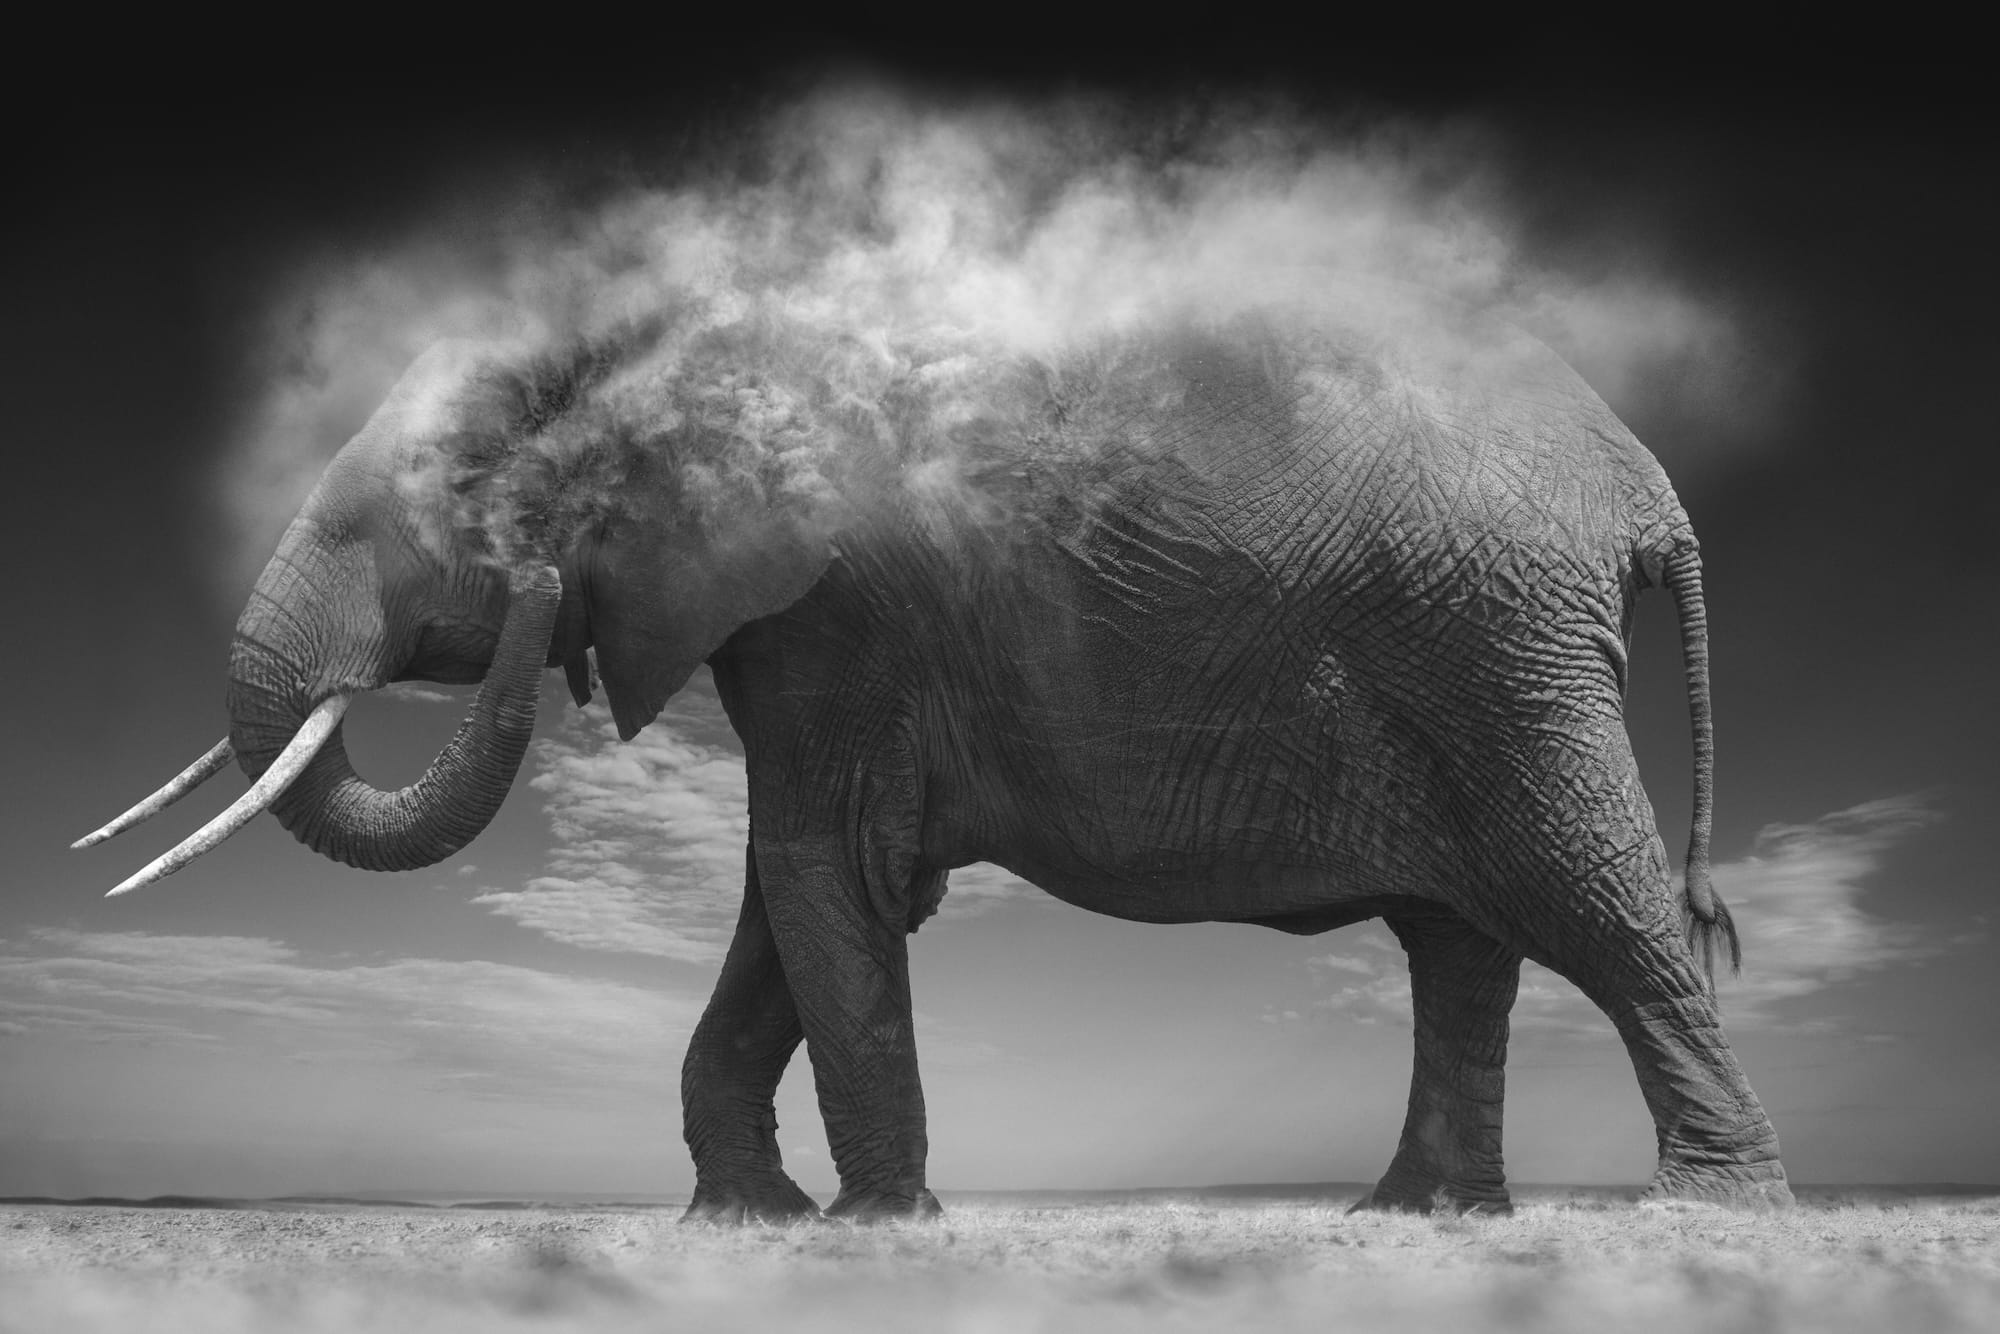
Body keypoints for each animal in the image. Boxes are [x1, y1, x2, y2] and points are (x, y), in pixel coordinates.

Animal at [80, 286, 1794, 1218]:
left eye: (469, 483)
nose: (530, 580)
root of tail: (1641, 480)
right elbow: (803, 890)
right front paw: (752, 1219)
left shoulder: (841, 600)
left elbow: (822, 872)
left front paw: (871, 1224)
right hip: (1477, 642)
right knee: (1463, 937)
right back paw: (1418, 1216)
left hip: (1497, 652)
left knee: (1585, 895)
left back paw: (1701, 1207)